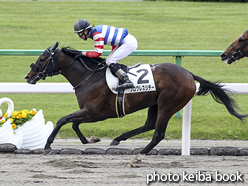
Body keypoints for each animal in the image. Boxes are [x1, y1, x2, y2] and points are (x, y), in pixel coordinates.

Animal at [25, 42, 246, 160]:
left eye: (43, 58)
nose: (28, 76)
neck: (89, 77)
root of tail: (189, 74)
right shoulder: (90, 112)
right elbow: (73, 124)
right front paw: (89, 140)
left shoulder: (95, 113)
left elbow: (63, 120)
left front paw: (47, 144)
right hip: (154, 103)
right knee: (149, 125)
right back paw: (119, 138)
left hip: (168, 104)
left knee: (158, 133)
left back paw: (141, 152)